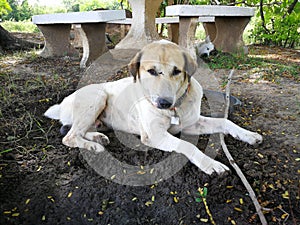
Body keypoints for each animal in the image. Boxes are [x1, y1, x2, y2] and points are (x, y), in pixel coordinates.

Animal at [44, 39, 262, 175]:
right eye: (151, 71)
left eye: (177, 71)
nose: (164, 103)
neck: (174, 110)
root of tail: (63, 102)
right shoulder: (155, 135)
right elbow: (188, 145)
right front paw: (211, 164)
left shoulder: (192, 123)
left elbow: (224, 121)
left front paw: (249, 135)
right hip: (98, 96)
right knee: (69, 136)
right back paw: (94, 146)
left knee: (75, 130)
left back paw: (97, 137)